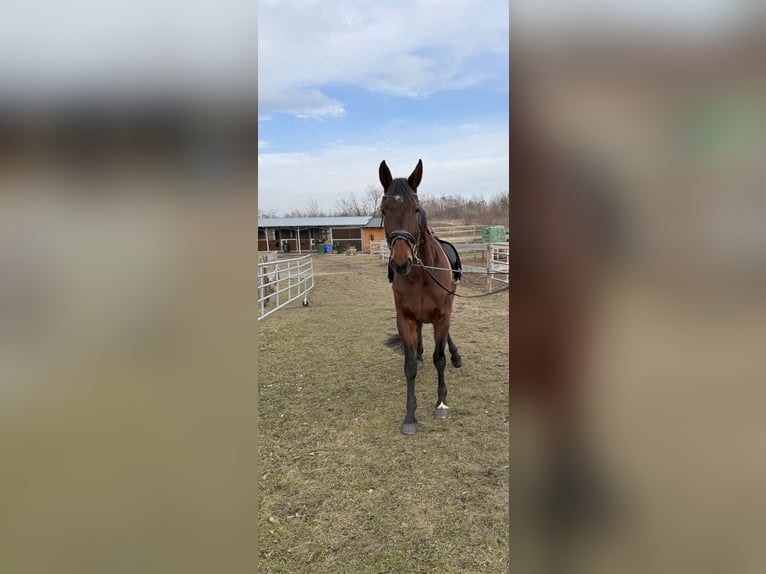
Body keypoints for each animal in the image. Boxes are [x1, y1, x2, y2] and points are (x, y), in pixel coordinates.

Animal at [382, 160, 462, 434]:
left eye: (416, 210)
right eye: (383, 211)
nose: (401, 262)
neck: (420, 274)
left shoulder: (442, 315)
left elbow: (440, 358)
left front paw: (441, 403)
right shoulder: (404, 318)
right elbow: (408, 367)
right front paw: (410, 416)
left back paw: (456, 356)